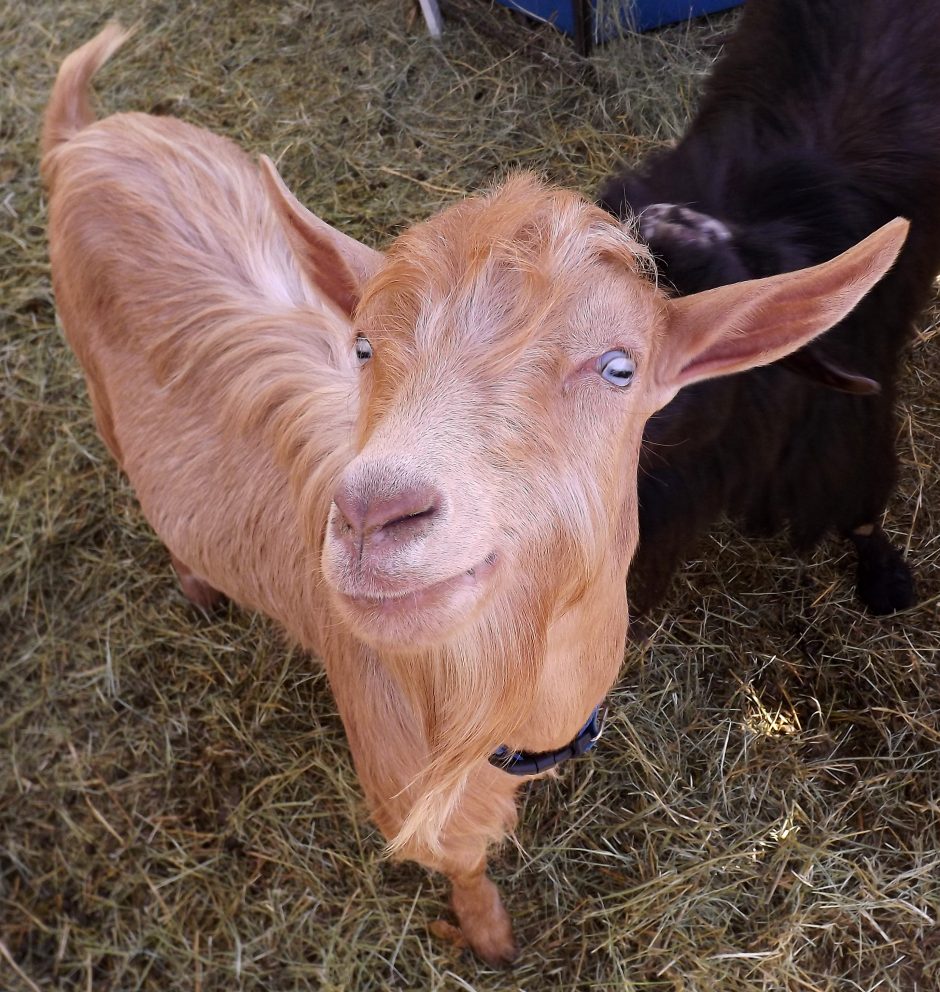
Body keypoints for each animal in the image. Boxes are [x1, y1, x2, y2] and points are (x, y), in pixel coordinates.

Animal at [42, 24, 906, 963]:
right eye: (363, 348)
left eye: (620, 367)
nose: (372, 514)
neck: (517, 701)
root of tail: (92, 135)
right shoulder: (402, 774)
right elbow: (460, 860)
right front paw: (491, 939)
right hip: (94, 383)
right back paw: (197, 584)